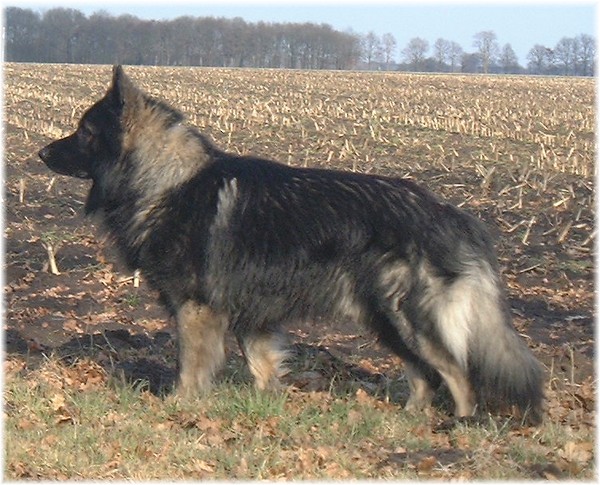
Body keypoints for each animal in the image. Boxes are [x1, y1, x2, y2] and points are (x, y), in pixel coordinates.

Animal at [38, 66, 544, 422]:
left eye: (84, 132)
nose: (41, 152)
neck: (165, 181)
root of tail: (450, 214)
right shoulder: (249, 315)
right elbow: (262, 368)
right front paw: (267, 409)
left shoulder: (196, 308)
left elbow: (190, 366)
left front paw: (180, 407)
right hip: (382, 319)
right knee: (425, 376)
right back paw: (408, 419)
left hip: (407, 316)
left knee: (458, 375)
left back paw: (458, 426)